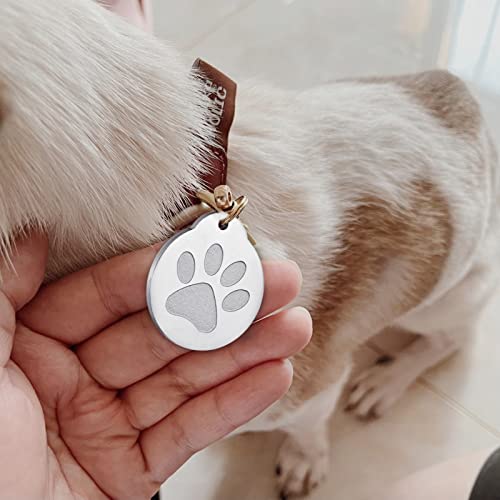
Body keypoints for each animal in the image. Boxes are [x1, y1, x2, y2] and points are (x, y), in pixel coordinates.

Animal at [1, 0, 499, 498]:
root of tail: (470, 104)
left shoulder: (313, 389)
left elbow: (308, 426)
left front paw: (304, 459)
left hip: (448, 297)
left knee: (452, 340)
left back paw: (386, 380)